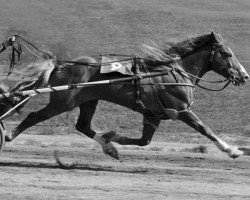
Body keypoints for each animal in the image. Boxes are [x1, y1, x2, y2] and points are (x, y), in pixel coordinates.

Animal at [3, 31, 250, 159]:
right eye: (228, 54)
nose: (244, 76)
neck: (174, 73)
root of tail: (60, 64)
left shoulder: (153, 115)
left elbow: (144, 141)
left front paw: (113, 138)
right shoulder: (181, 109)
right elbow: (205, 128)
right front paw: (232, 150)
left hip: (89, 100)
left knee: (83, 126)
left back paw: (108, 147)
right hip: (63, 102)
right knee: (34, 116)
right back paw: (8, 136)